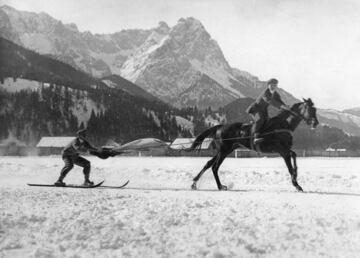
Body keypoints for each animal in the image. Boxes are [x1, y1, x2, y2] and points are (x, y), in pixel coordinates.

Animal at [187, 98, 320, 191]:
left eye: (315, 110)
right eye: (310, 110)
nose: (316, 123)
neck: (283, 124)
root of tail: (220, 126)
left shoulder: (285, 149)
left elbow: (294, 156)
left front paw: (296, 176)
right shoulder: (282, 150)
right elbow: (290, 167)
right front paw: (296, 184)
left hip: (225, 150)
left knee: (209, 163)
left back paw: (195, 183)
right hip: (224, 151)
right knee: (215, 167)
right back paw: (219, 186)